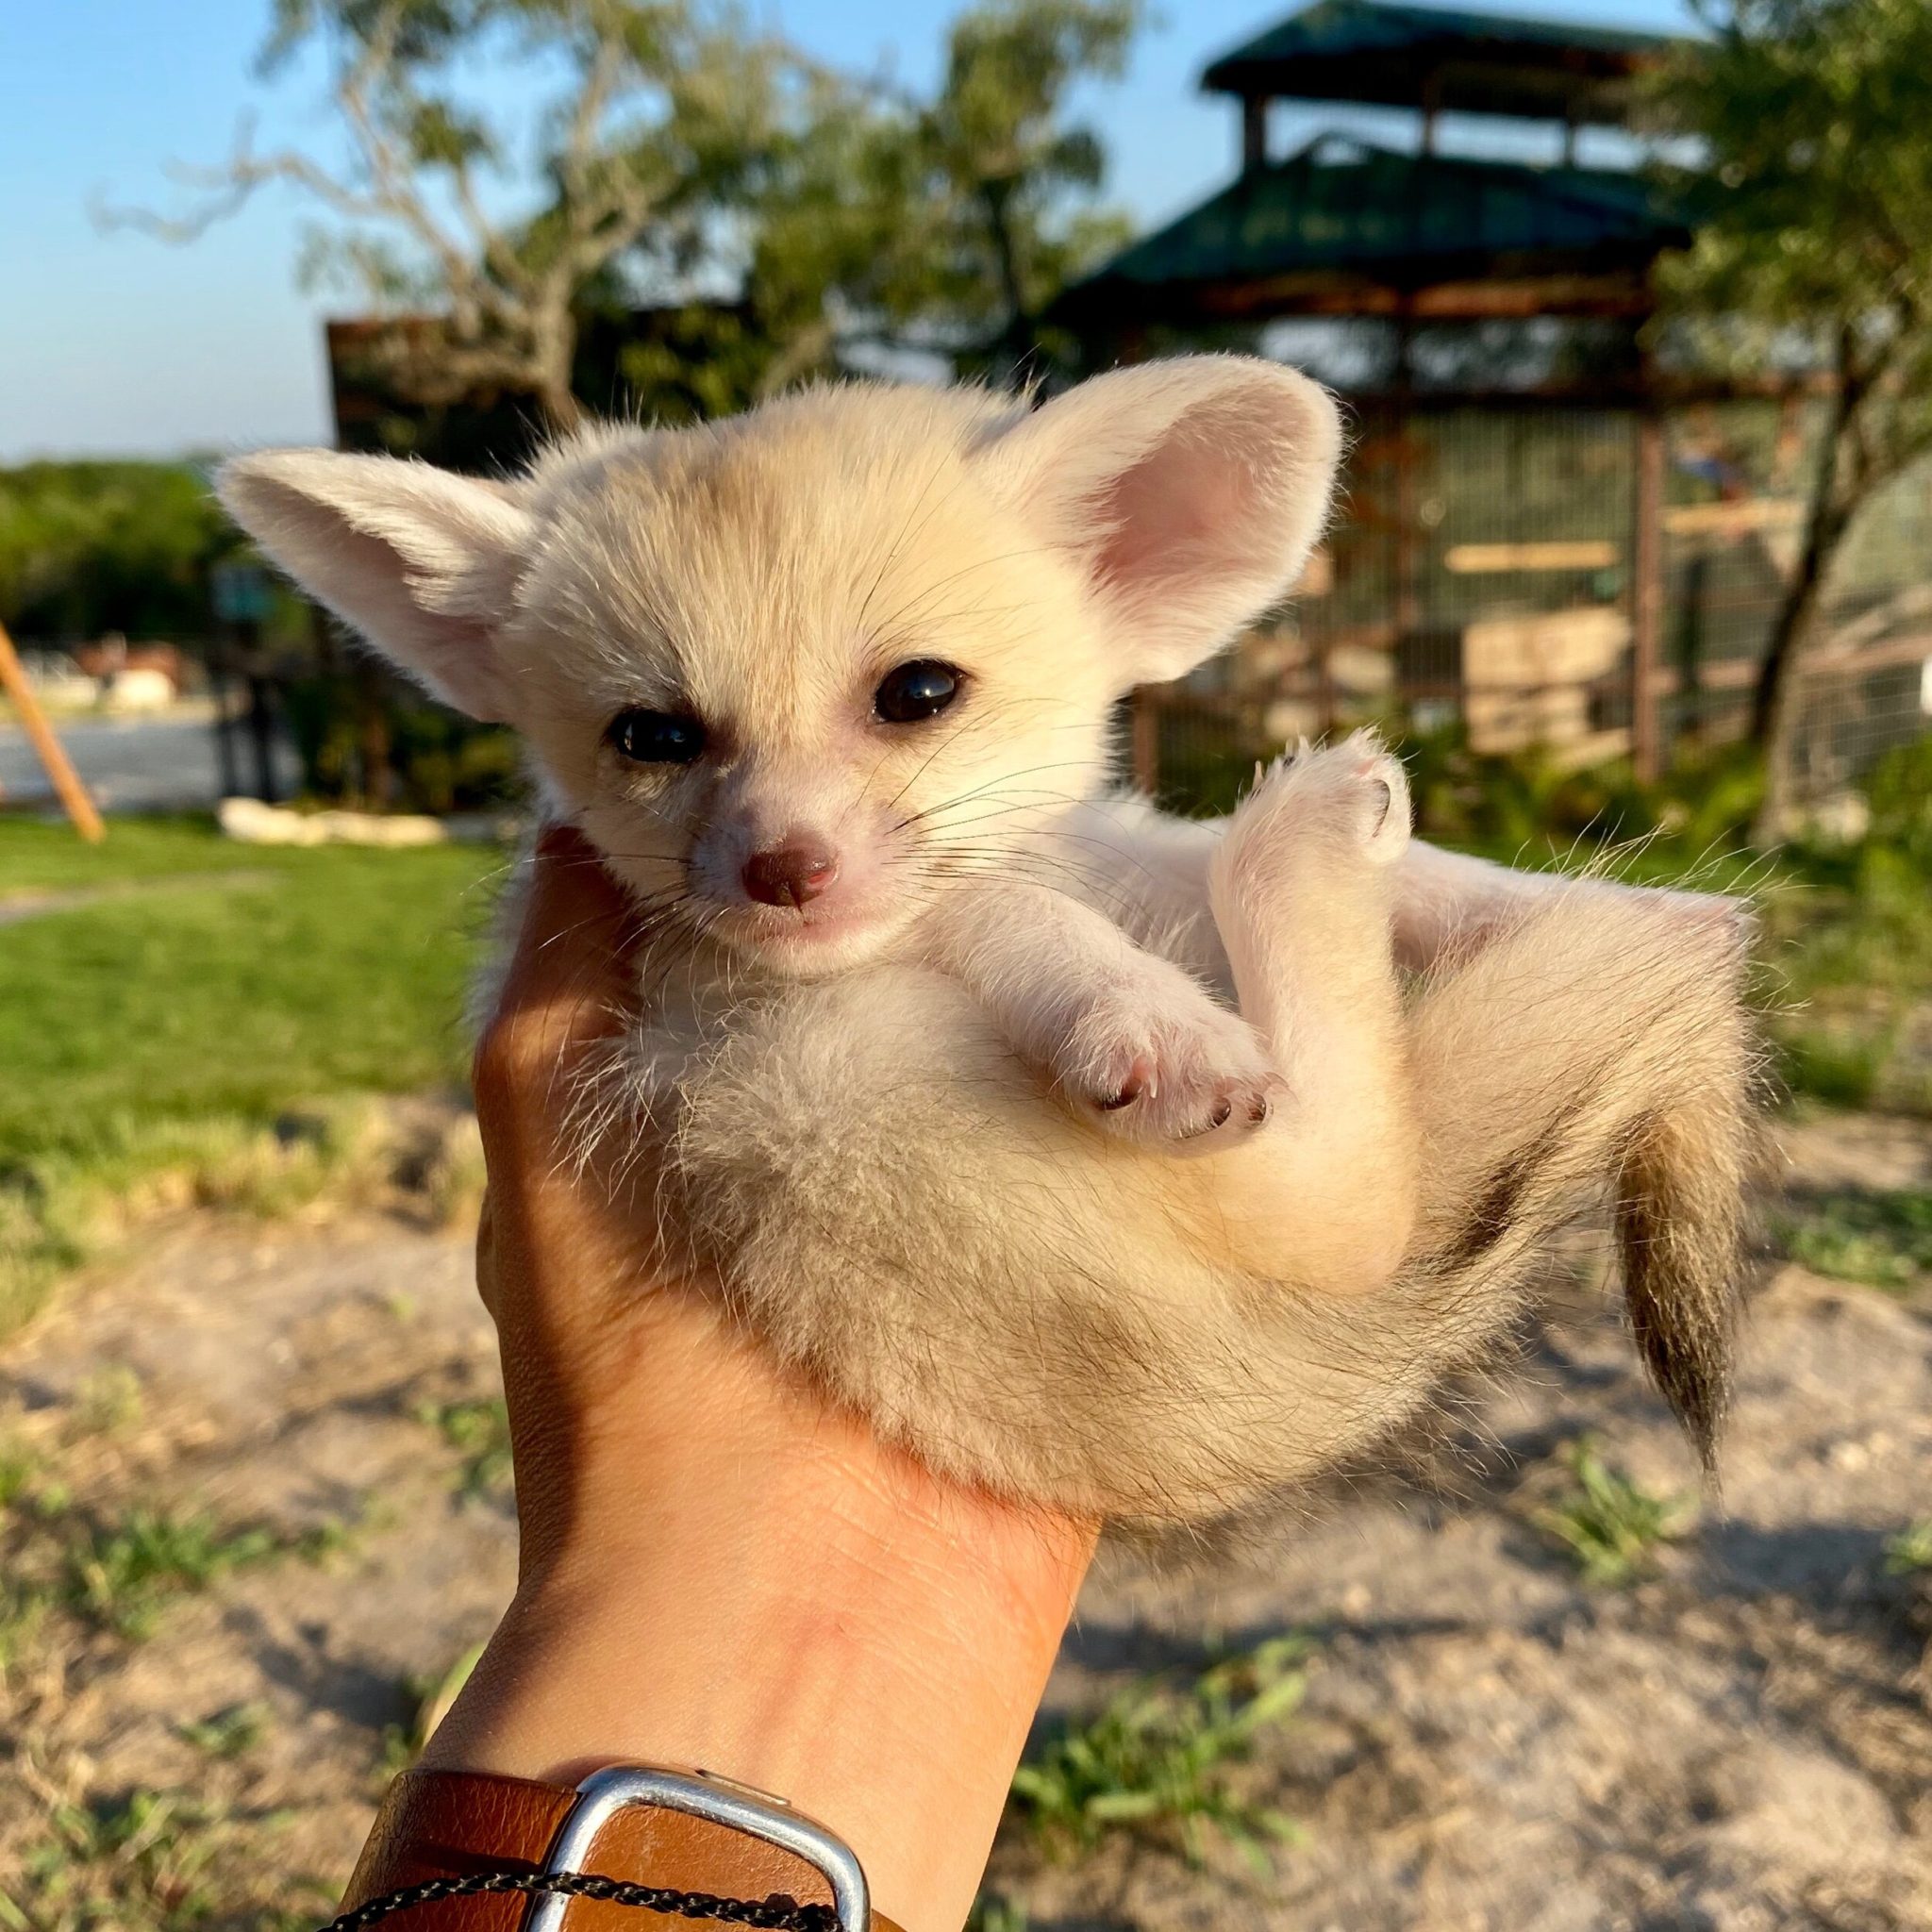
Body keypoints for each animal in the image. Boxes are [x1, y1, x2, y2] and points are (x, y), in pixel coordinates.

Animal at [218, 354, 1758, 1527]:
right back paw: (1312, 826)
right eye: (650, 737)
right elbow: (997, 905)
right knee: (1358, 1188)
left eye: (917, 692)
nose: (781, 873)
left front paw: (1562, 900)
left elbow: (1206, 864)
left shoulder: (1100, 840)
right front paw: (1154, 1022)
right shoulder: (757, 952)